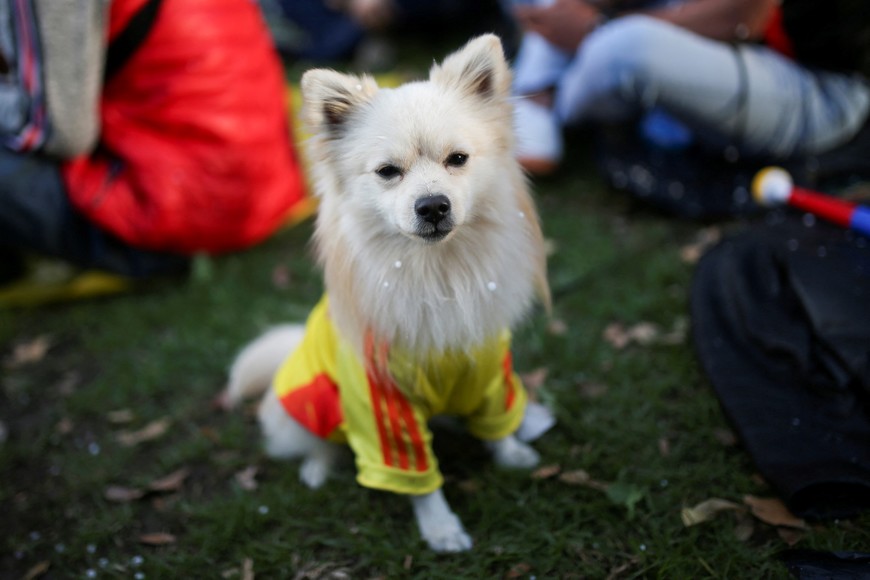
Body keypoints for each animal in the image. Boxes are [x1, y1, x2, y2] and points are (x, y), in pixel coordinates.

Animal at [225, 36, 552, 552]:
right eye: (387, 172)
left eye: (458, 159)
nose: (433, 206)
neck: (438, 276)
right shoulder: (383, 402)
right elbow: (419, 478)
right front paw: (441, 528)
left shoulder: (488, 371)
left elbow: (497, 422)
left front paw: (513, 454)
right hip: (307, 405)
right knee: (315, 442)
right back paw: (318, 469)